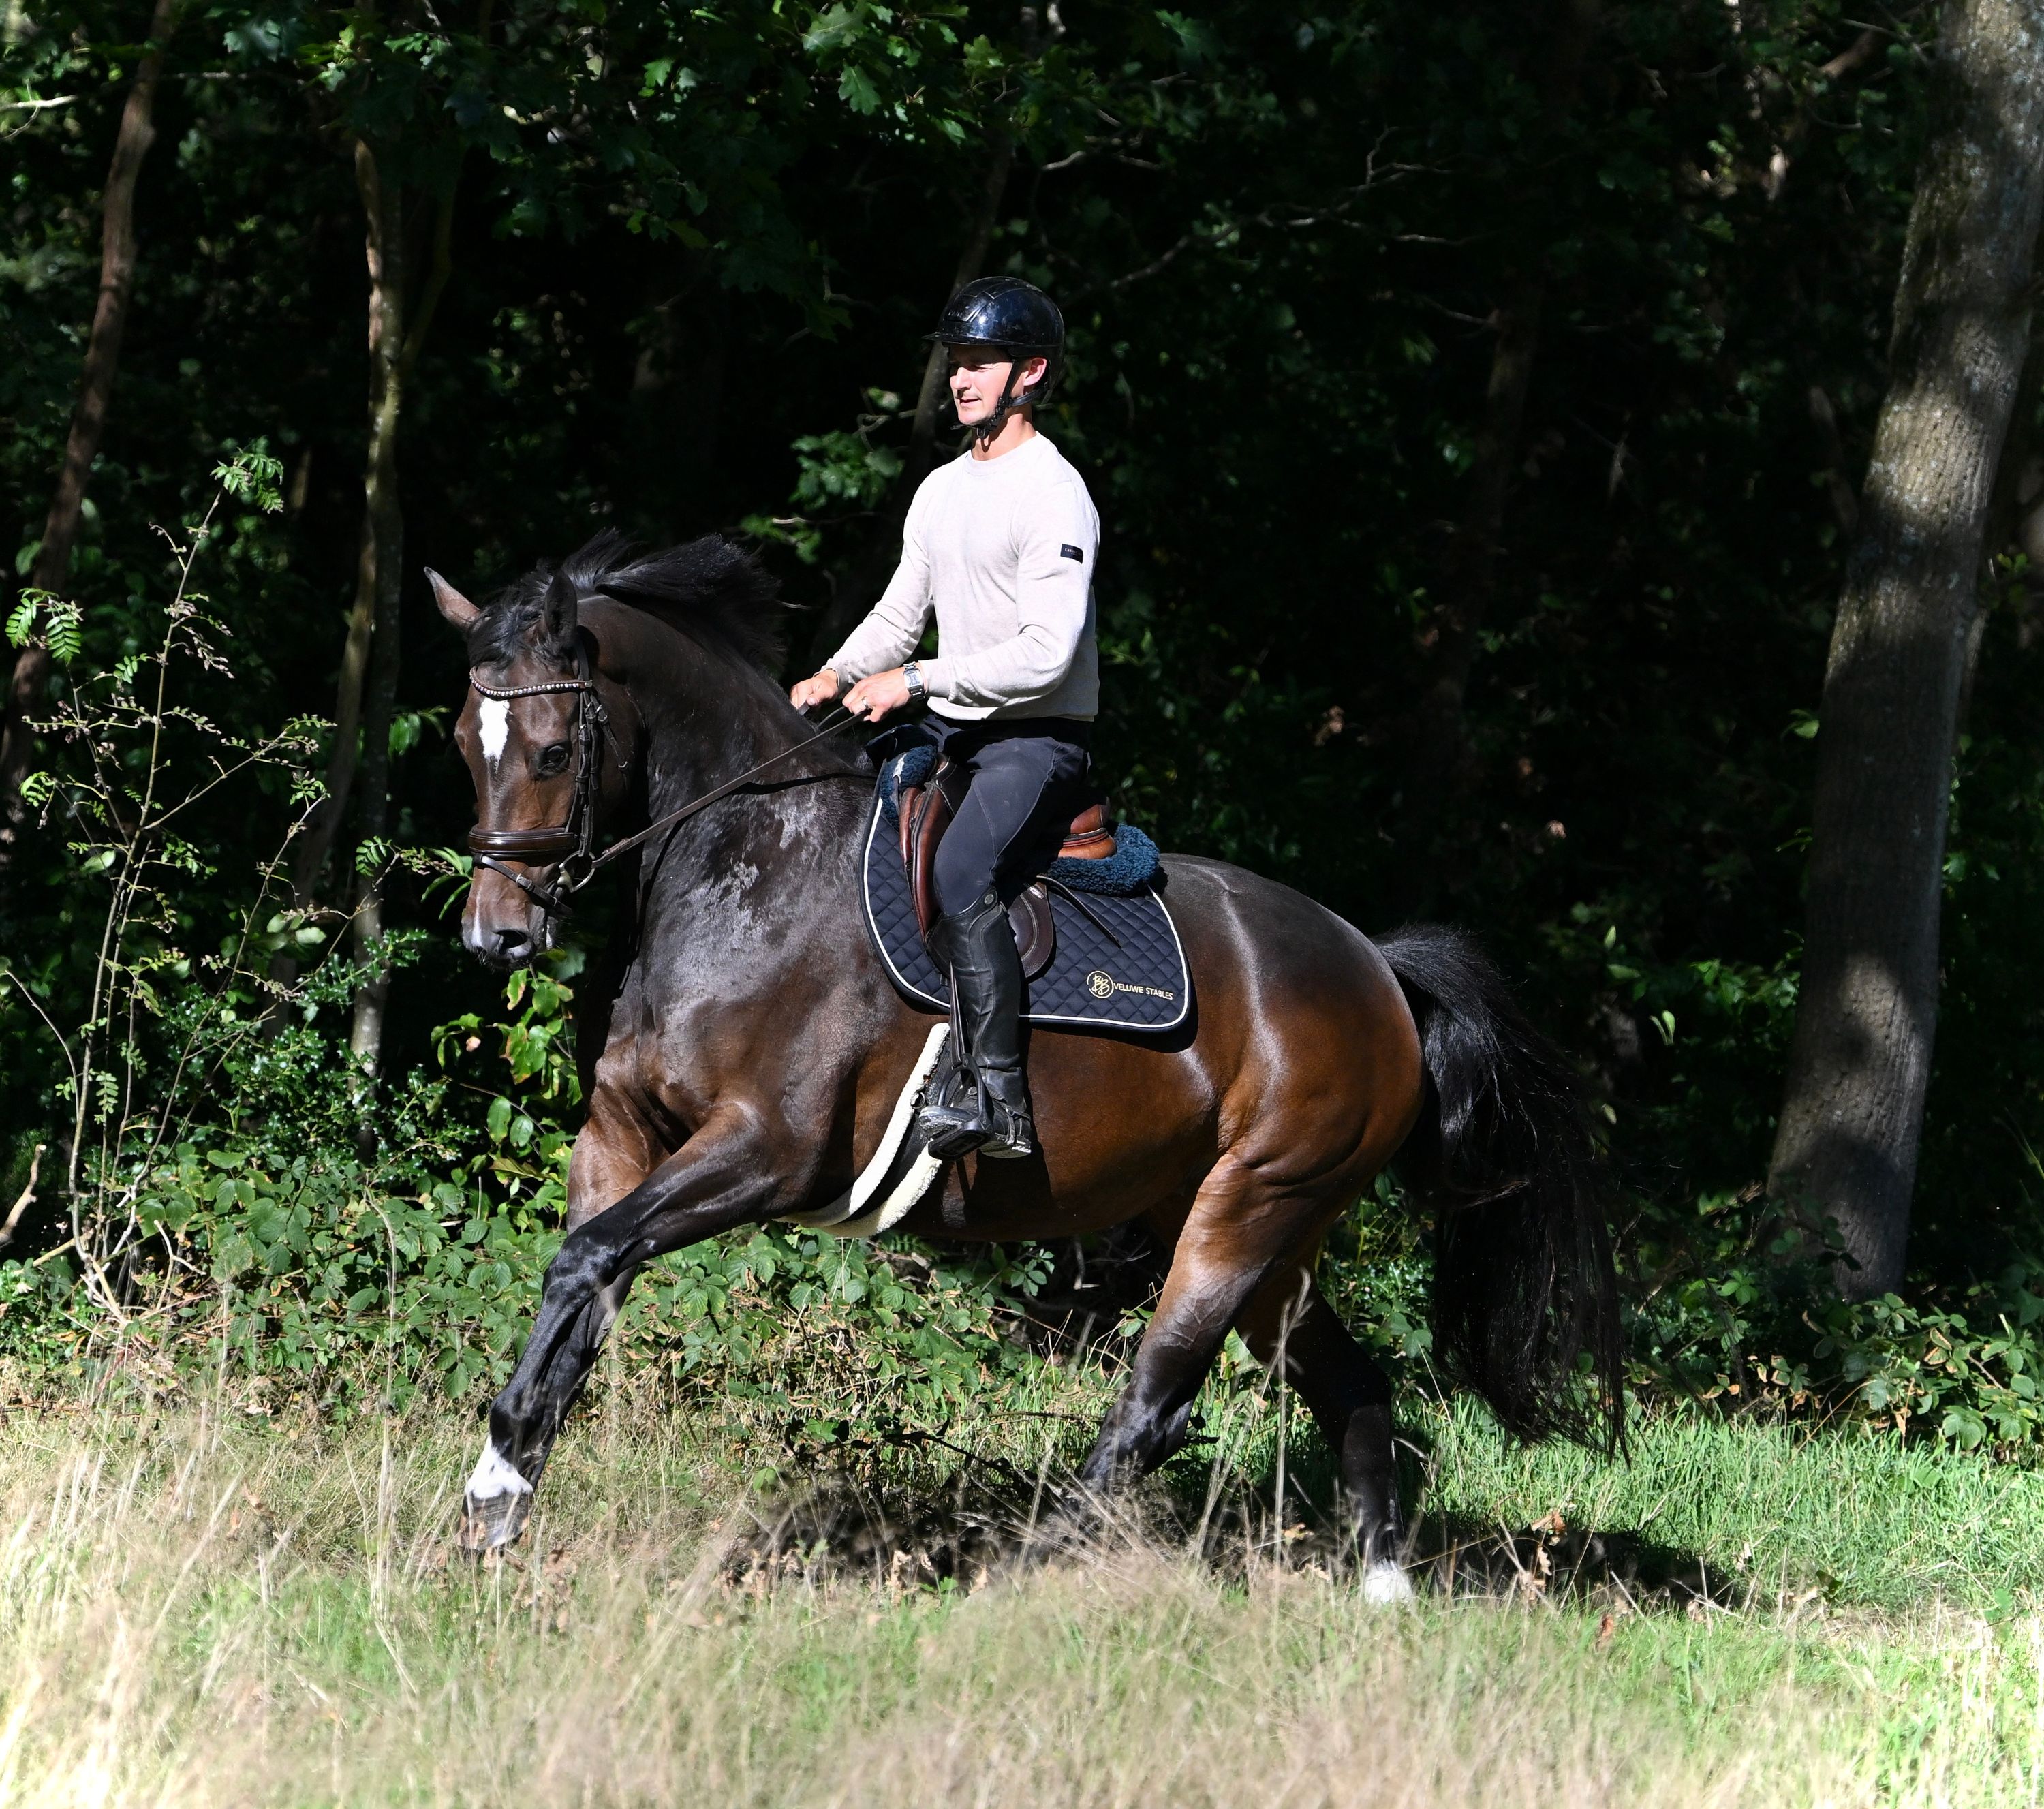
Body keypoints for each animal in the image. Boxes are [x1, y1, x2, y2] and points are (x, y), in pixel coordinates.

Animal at [431, 532, 1622, 1596]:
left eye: (550, 750)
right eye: (462, 745)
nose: (498, 938)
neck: (750, 872)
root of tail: (1377, 965)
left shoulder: (765, 1152)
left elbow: (586, 1261)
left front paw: (496, 1489)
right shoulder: (622, 1137)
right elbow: (581, 1282)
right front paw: (501, 1489)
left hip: (1250, 1208)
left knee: (1156, 1403)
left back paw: (1015, 1574)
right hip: (1262, 1232)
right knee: (1354, 1389)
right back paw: (1380, 1597)